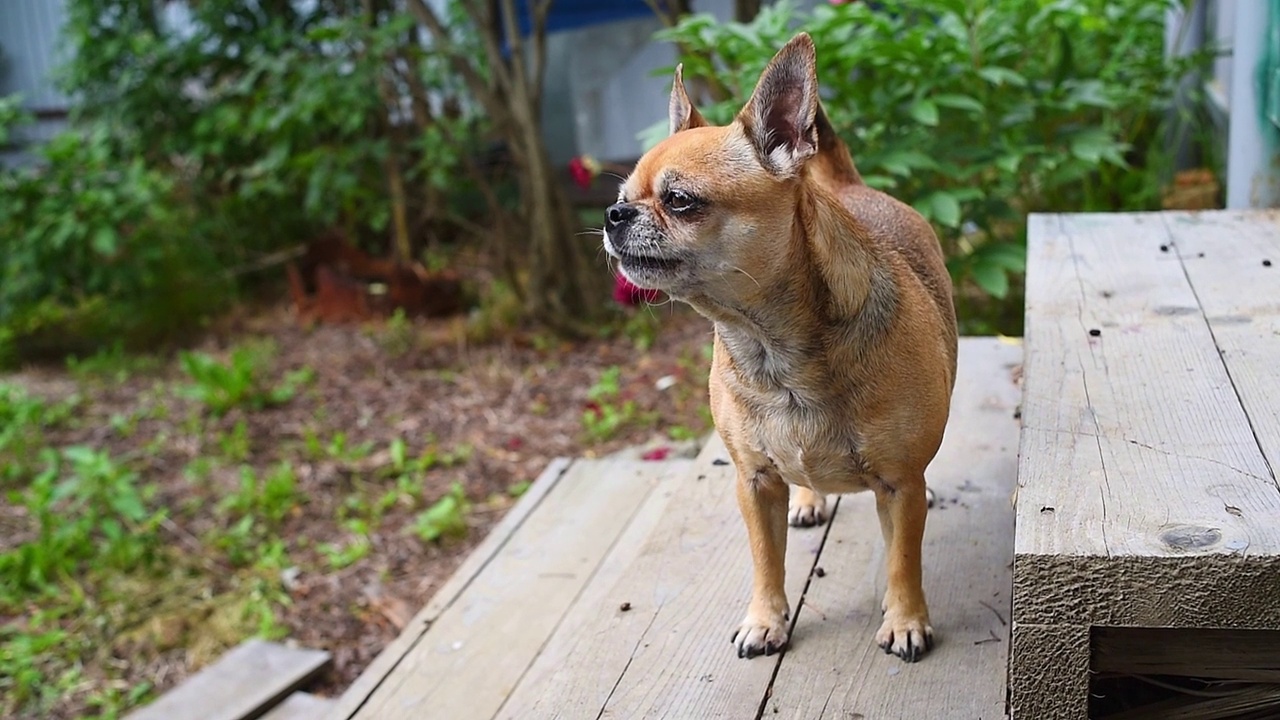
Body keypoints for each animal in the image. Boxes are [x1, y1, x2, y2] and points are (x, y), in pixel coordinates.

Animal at [604, 35, 957, 661]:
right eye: (623, 197)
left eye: (680, 200)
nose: (613, 214)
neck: (769, 348)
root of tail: (847, 184)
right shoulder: (756, 483)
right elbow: (766, 562)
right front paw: (765, 620)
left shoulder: (899, 487)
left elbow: (902, 560)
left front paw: (906, 620)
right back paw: (809, 500)